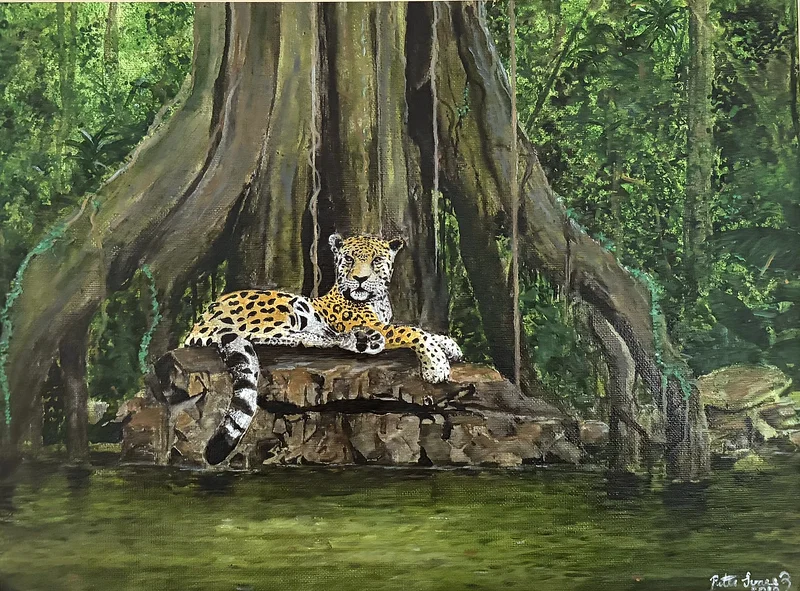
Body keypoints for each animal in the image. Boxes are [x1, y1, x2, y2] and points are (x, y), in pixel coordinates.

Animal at [183, 233, 463, 465]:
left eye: (376, 261)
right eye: (349, 259)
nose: (360, 279)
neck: (379, 301)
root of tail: (201, 320)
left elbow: (425, 332)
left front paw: (450, 345)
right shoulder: (377, 324)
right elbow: (412, 330)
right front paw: (436, 365)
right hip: (283, 306)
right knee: (269, 335)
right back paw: (360, 340)